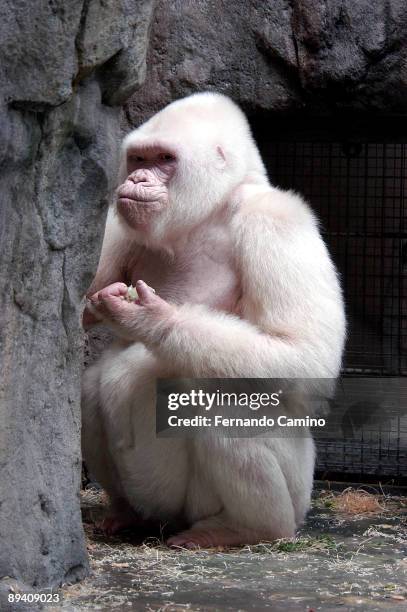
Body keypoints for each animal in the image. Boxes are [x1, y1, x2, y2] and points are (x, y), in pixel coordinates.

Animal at [83, 93, 348, 548]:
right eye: (138, 158)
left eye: (165, 159)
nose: (137, 179)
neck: (211, 210)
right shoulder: (121, 218)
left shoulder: (274, 218)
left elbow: (304, 355)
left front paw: (153, 320)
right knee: (88, 389)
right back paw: (124, 512)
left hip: (293, 495)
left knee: (222, 400)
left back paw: (248, 527)